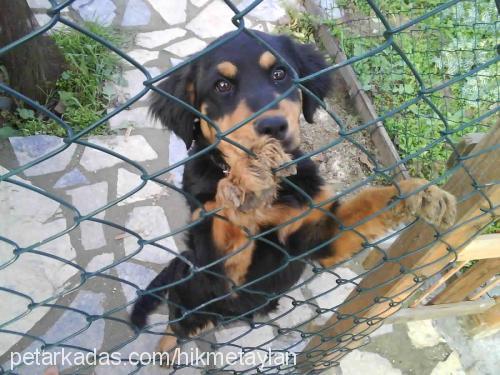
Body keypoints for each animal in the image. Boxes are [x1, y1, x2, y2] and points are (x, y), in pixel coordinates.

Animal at [130, 30, 458, 354]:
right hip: (193, 289)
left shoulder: (321, 238)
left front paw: (418, 193)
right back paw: (165, 350)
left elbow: (369, 202)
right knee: (176, 321)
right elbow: (227, 220)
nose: (273, 126)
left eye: (280, 74)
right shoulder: (224, 274)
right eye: (221, 86)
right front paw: (244, 181)